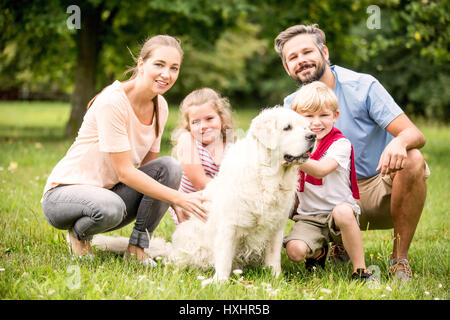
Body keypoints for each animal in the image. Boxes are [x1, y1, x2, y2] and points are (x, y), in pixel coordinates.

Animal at [93, 106, 314, 282]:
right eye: (287, 128)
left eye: (305, 127)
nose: (312, 136)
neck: (268, 176)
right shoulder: (230, 225)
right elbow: (224, 257)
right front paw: (219, 283)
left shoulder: (276, 226)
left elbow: (274, 258)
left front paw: (276, 280)